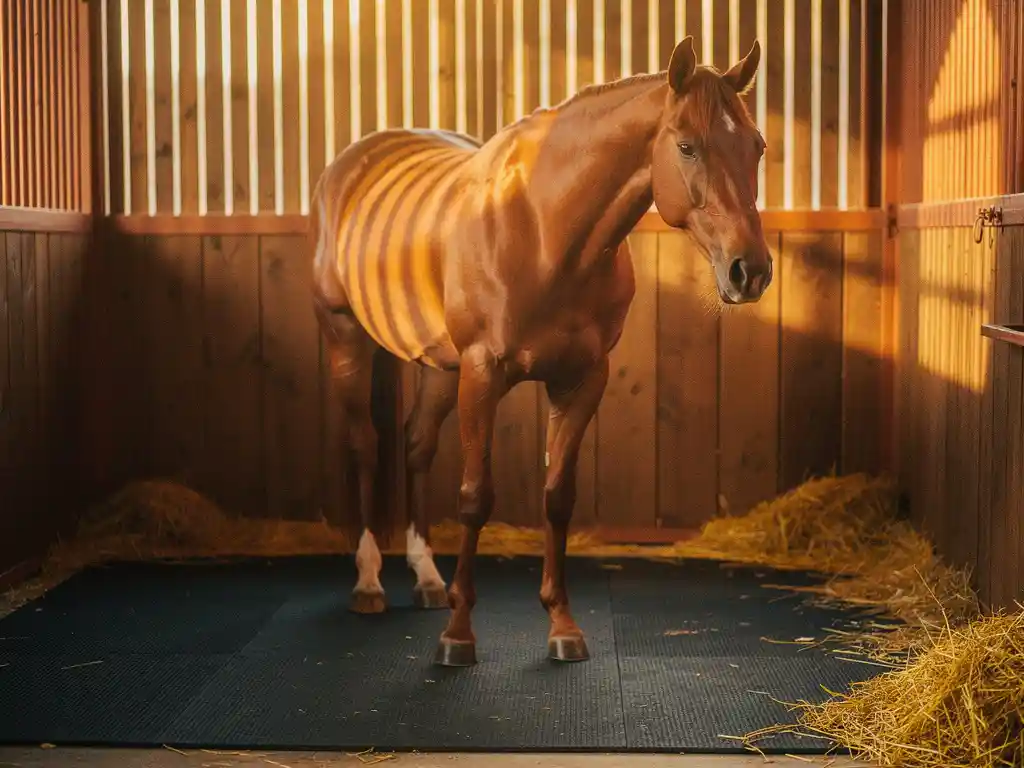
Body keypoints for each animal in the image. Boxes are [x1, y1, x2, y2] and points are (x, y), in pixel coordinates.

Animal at [309, 36, 772, 667]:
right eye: (686, 146)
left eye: (757, 145)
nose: (750, 271)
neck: (546, 230)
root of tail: (348, 164)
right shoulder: (482, 372)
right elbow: (475, 497)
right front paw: (458, 635)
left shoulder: (581, 380)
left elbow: (557, 498)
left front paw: (562, 625)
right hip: (348, 341)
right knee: (364, 445)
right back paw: (368, 582)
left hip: (439, 367)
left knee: (416, 444)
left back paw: (426, 577)